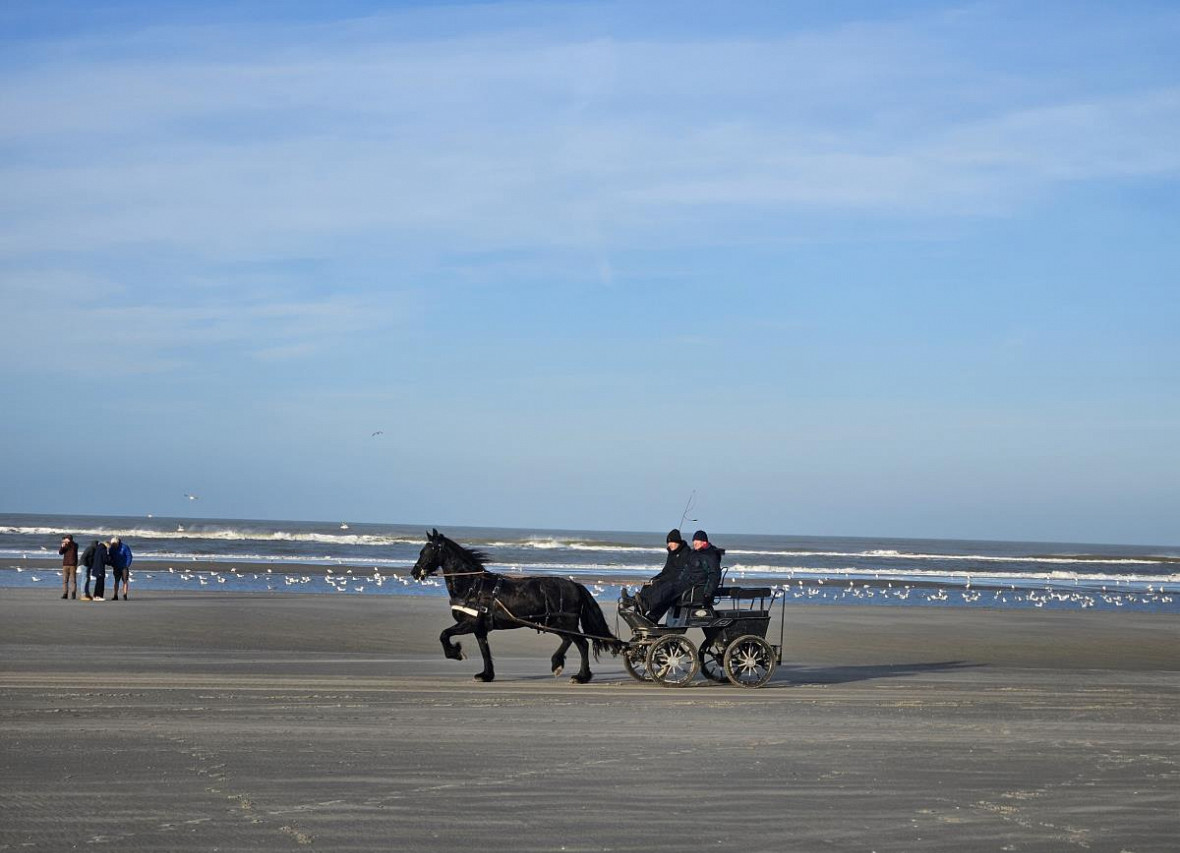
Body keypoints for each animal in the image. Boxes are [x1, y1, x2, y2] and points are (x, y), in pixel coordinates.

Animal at [410, 530, 623, 684]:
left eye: (427, 550)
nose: (414, 572)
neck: (473, 585)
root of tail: (574, 584)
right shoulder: (479, 629)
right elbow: (485, 651)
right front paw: (486, 675)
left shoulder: (469, 624)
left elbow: (444, 635)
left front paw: (455, 653)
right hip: (554, 623)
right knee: (569, 641)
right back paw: (561, 665)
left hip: (565, 622)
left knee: (582, 644)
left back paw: (578, 675)